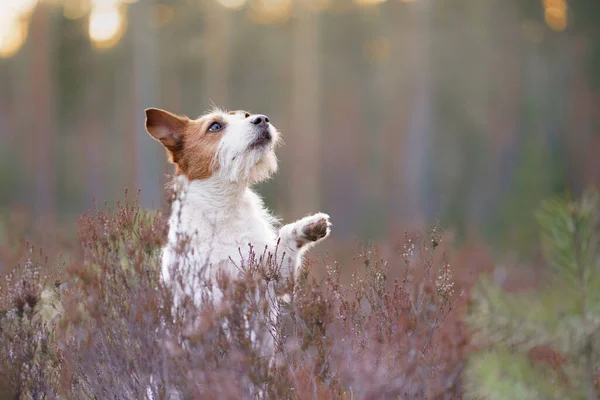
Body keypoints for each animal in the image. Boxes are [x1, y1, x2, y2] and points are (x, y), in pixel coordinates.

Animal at [145, 106, 332, 356]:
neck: (225, 209)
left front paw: (309, 227)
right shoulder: (204, 292)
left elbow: (285, 237)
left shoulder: (277, 276)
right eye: (215, 126)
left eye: (246, 116)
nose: (262, 120)